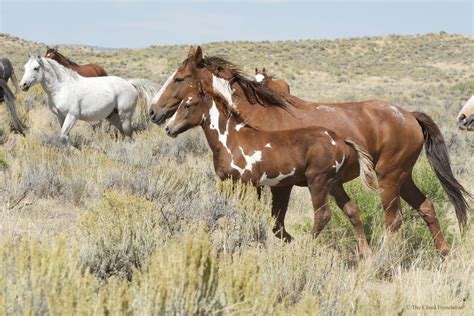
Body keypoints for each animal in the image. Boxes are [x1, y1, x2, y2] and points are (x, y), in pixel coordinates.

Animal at [19, 56, 157, 141]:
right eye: (25, 67)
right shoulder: (60, 117)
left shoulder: (72, 116)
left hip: (125, 116)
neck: (62, 88)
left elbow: (63, 135)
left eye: (36, 68)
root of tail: (130, 83)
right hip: (112, 116)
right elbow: (65, 136)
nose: (22, 85)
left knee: (128, 134)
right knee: (124, 134)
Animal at [167, 87, 378, 256]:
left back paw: (304, 248)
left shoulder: (246, 184)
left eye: (188, 104)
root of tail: (340, 140)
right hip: (334, 184)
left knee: (323, 215)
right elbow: (227, 213)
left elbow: (244, 215)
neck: (231, 140)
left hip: (318, 181)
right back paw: (365, 253)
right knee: (352, 210)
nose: (169, 128)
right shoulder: (230, 183)